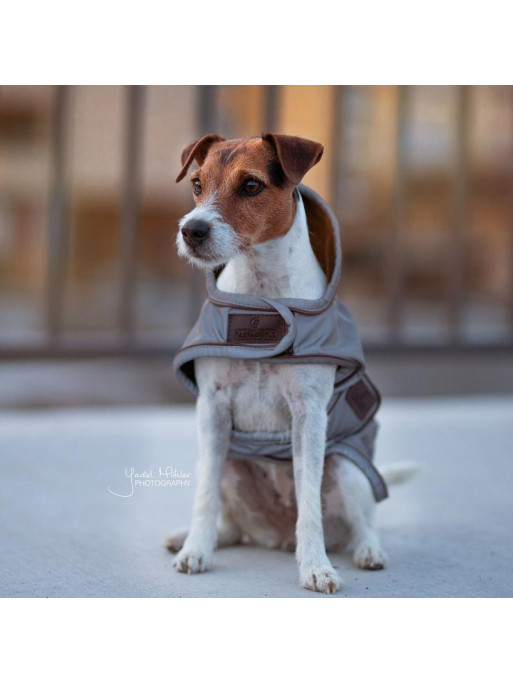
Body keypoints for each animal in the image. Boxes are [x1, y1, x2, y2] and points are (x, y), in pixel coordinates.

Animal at [166, 134, 414, 592]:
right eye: (196, 183)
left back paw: (367, 551)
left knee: (364, 522)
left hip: (348, 467)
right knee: (229, 522)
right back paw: (191, 537)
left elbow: (310, 503)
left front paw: (315, 567)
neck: (262, 299)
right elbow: (204, 496)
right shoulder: (211, 409)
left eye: (250, 185)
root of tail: (275, 536)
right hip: (228, 461)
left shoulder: (309, 416)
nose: (191, 230)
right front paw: (195, 550)